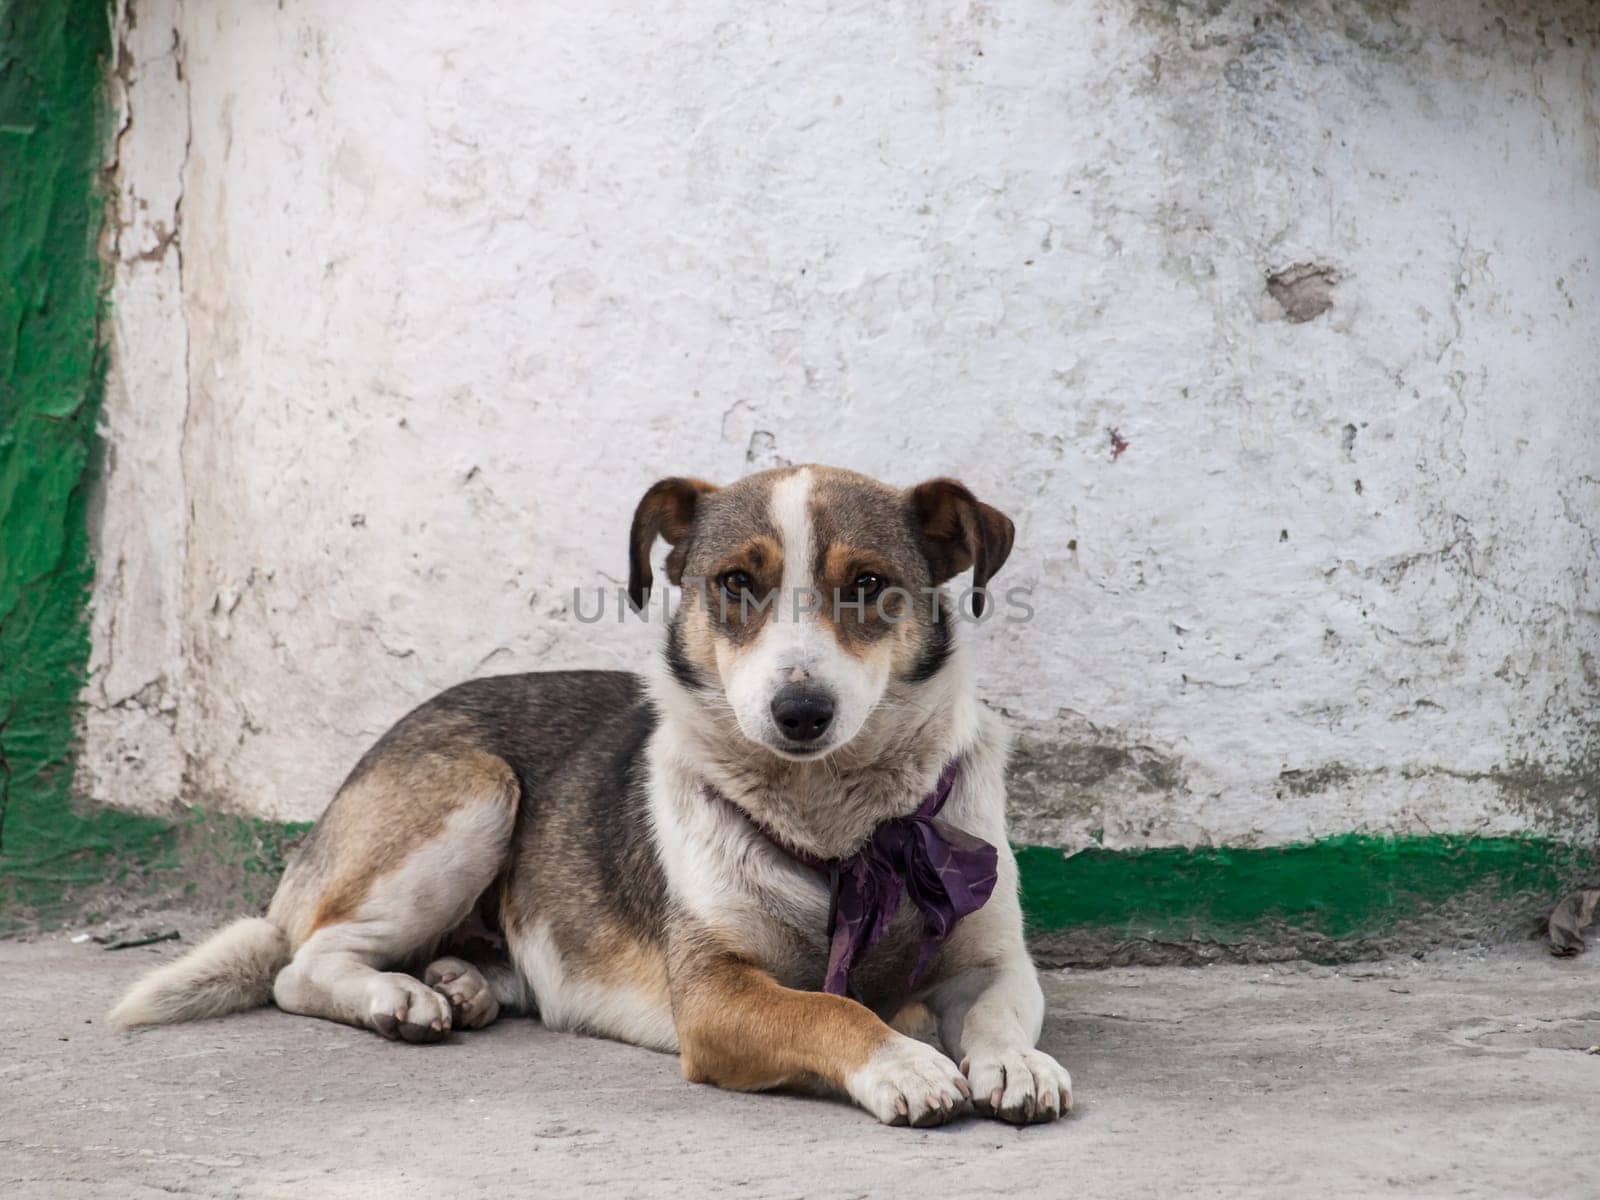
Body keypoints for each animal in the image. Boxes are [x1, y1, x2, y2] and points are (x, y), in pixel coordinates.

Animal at [112, 464, 1075, 1126]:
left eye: (869, 584)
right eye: (736, 583)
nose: (800, 712)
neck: (835, 820)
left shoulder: (992, 957)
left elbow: (1004, 1007)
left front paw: (1015, 1064)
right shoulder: (715, 997)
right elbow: (830, 1007)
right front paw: (904, 1062)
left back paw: (461, 980)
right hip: (478, 792)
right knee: (299, 965)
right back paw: (400, 998)